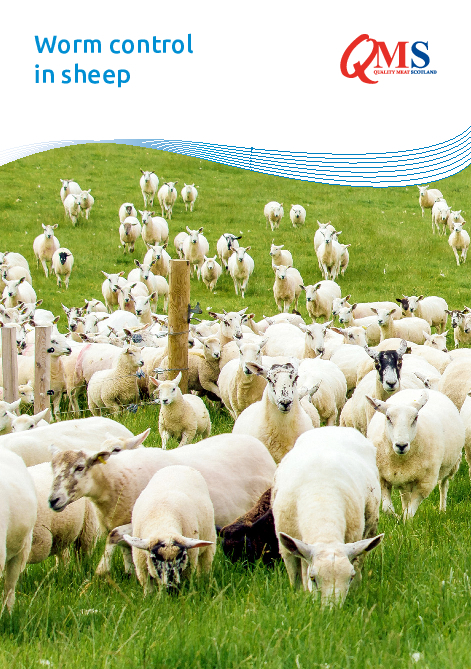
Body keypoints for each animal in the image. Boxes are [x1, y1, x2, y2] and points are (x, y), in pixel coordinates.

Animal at [48, 431, 276, 574]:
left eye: (79, 467)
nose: (53, 500)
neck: (120, 476)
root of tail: (257, 443)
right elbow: (125, 547)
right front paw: (129, 573)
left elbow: (114, 536)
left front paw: (101, 571)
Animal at [273, 426, 382, 606]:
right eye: (313, 578)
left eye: (349, 577)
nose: (332, 610)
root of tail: (334, 427)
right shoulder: (286, 549)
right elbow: (295, 578)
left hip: (369, 526)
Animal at [367, 389, 464, 518]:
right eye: (388, 417)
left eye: (415, 418)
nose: (401, 445)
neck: (400, 460)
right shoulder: (382, 478)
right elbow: (387, 509)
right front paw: (397, 517)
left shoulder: (424, 483)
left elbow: (409, 514)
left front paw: (405, 520)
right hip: (405, 478)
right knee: (405, 496)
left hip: (450, 465)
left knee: (443, 485)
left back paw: (442, 510)